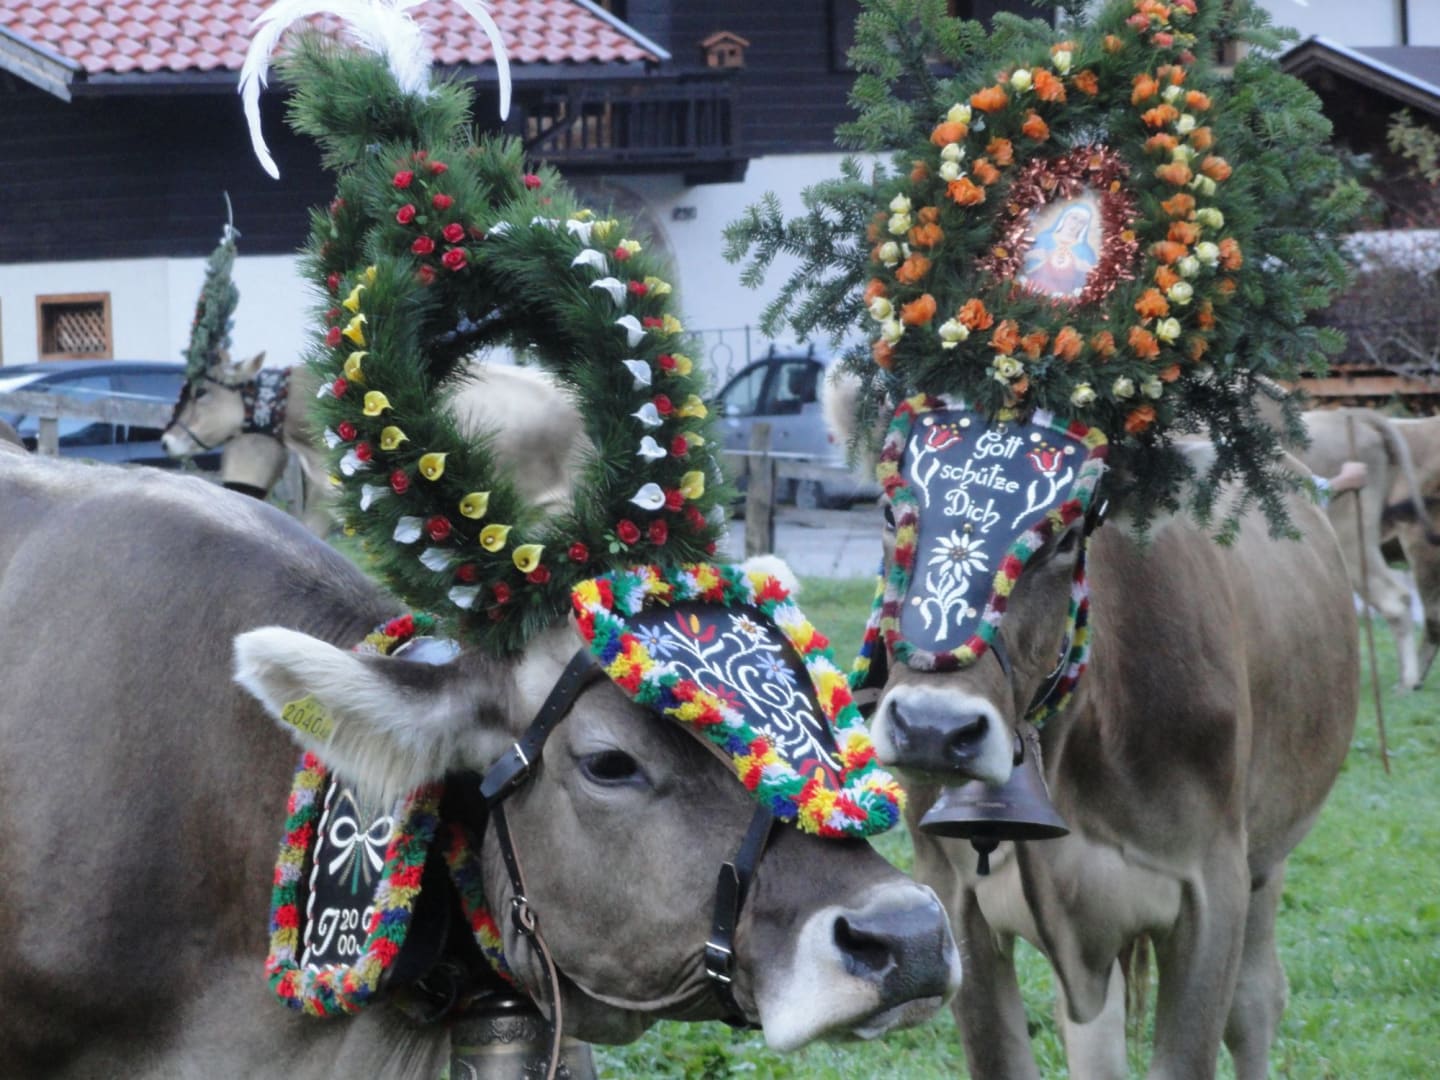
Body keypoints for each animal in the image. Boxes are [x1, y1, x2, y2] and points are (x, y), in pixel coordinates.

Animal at [834, 399, 1358, 1080]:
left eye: (1064, 539)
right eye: (889, 513)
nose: (932, 728)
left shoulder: (1213, 888)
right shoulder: (952, 892)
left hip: (1268, 859)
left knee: (1256, 1003)